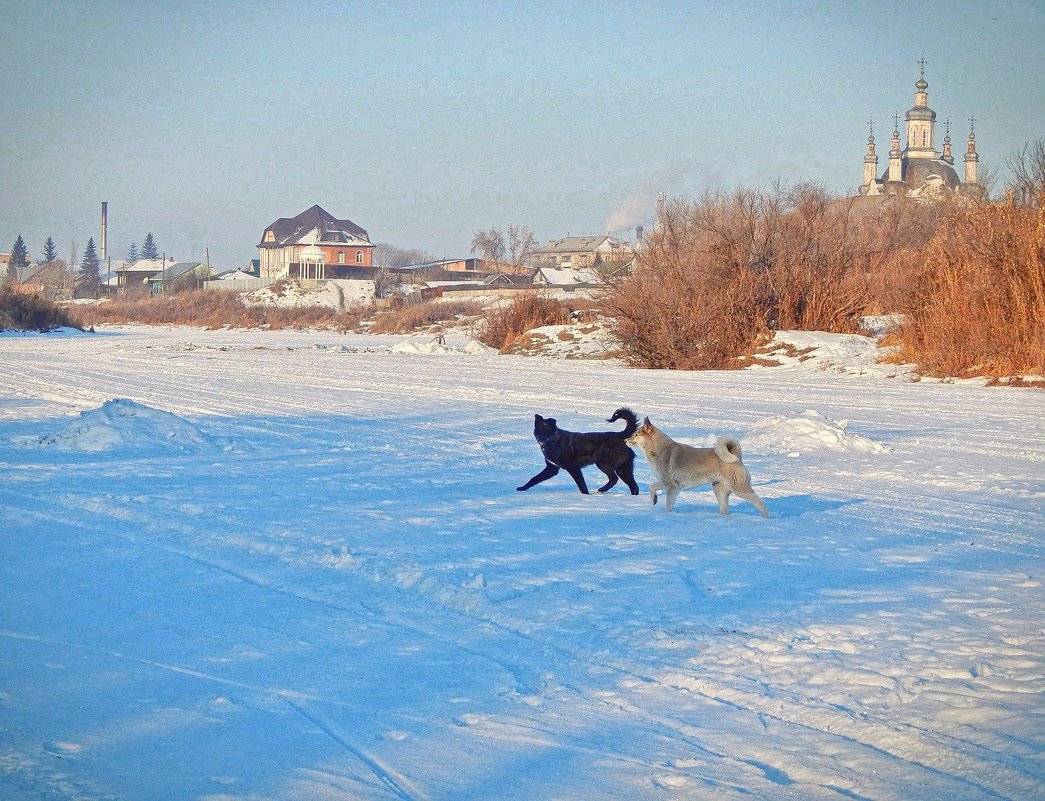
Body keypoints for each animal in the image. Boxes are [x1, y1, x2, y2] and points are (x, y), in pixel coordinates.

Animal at [627, 417, 769, 517]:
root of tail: (737, 457)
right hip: (718, 489)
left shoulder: (671, 487)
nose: (625, 440)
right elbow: (651, 486)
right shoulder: (665, 482)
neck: (659, 450)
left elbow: (668, 506)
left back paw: (765, 518)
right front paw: (654, 498)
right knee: (725, 510)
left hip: (739, 488)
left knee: (761, 503)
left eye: (636, 434)